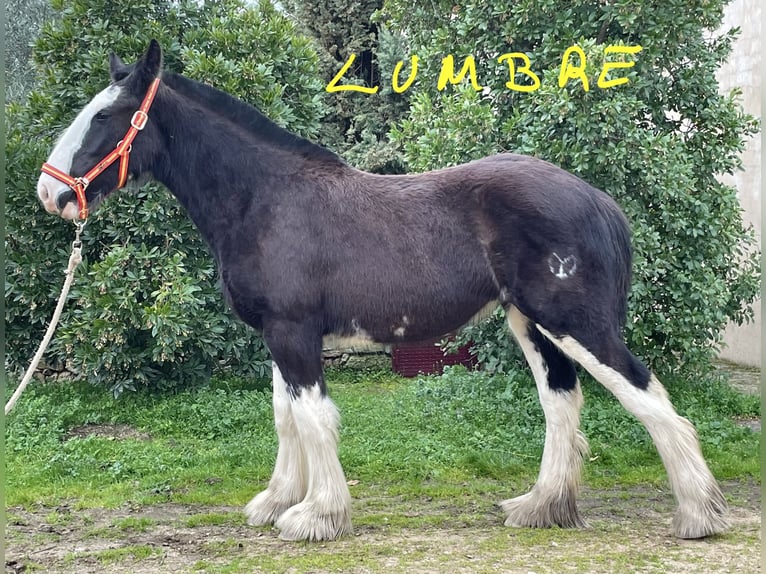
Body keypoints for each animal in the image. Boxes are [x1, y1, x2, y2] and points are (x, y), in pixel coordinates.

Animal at [37, 40, 728, 542]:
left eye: (105, 115)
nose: (50, 192)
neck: (265, 199)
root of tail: (599, 202)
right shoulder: (280, 335)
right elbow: (286, 416)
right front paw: (277, 501)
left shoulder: (293, 331)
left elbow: (313, 417)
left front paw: (316, 516)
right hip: (532, 325)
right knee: (562, 404)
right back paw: (541, 507)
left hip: (576, 323)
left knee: (650, 400)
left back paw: (698, 514)